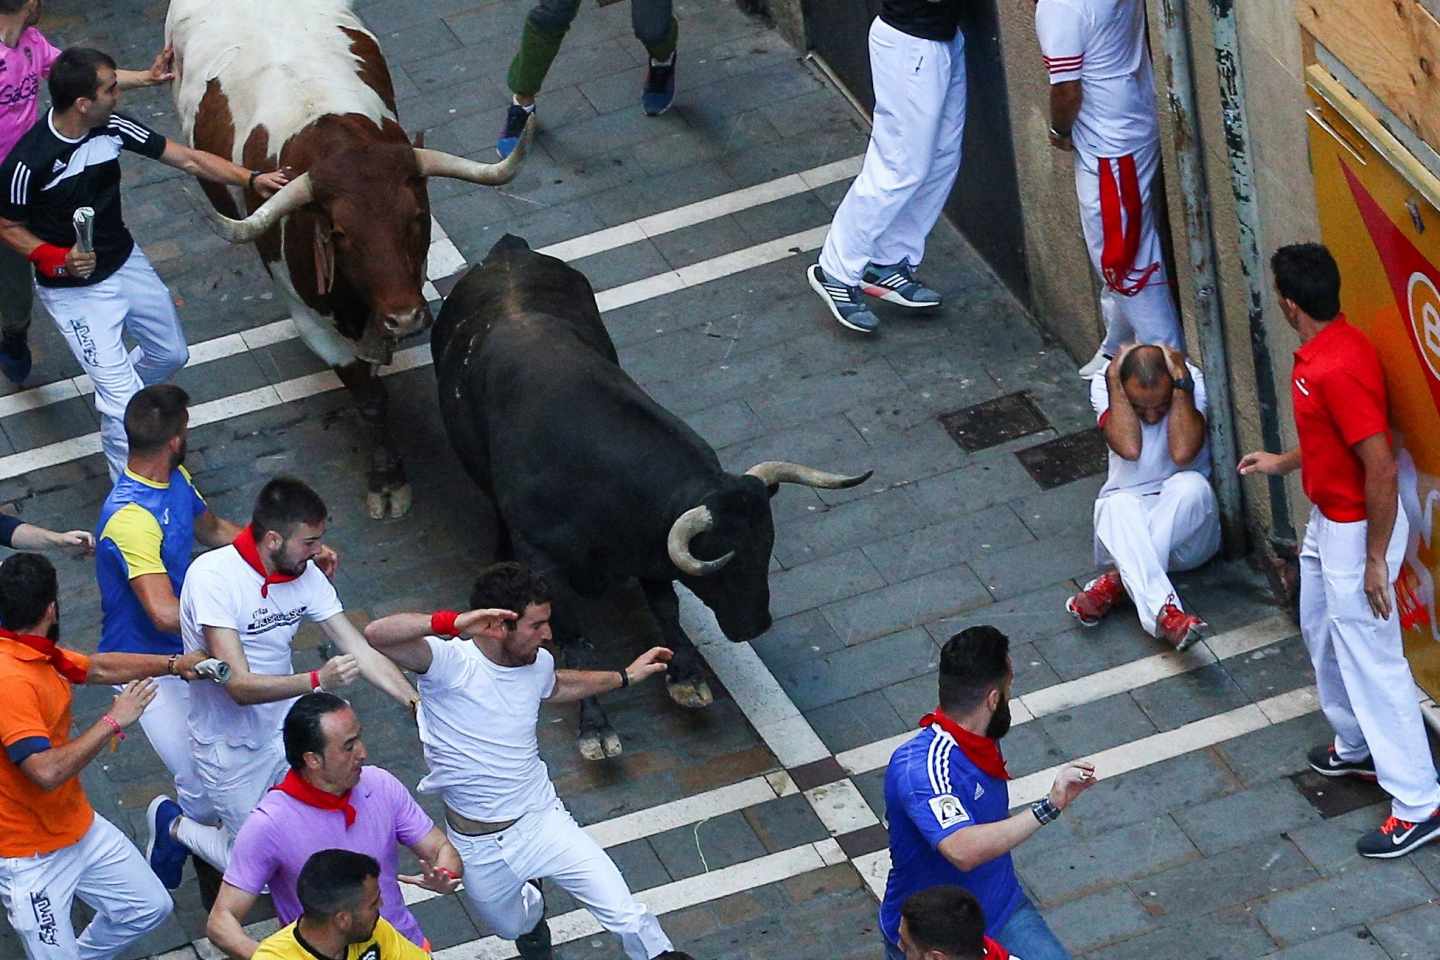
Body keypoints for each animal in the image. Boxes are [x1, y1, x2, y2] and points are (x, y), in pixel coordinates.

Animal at [163, 0, 532, 518]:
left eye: (416, 216)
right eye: (338, 234)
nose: (404, 318)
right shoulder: (313, 321)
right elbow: (367, 395)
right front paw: (387, 479)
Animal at [432, 238, 869, 759]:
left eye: (767, 549)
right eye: (724, 561)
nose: (755, 626)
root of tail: (506, 250)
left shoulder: (651, 546)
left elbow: (666, 607)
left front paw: (684, 676)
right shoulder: (546, 565)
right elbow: (573, 640)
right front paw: (595, 726)